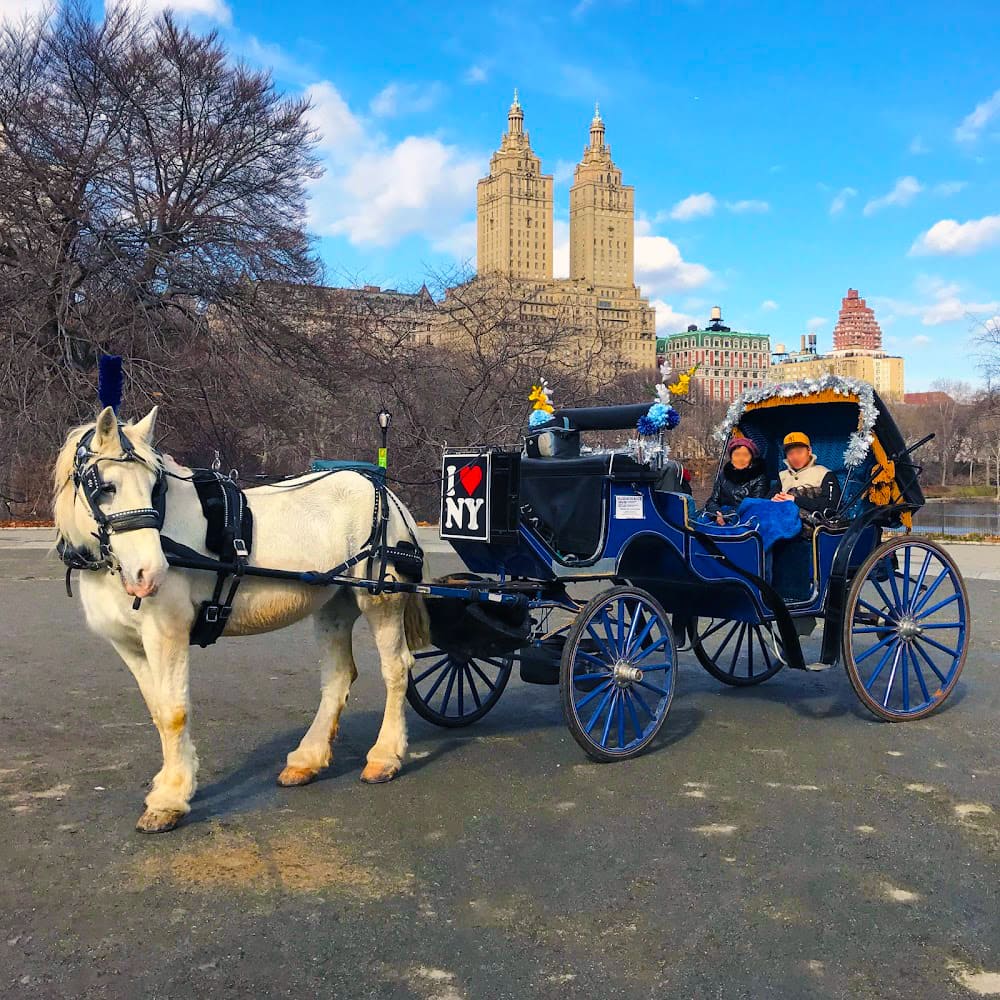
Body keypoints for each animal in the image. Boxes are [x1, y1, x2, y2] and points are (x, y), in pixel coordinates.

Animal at [53, 406, 430, 836]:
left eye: (153, 487)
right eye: (105, 488)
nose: (149, 573)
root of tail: (385, 494)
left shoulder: (167, 634)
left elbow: (174, 711)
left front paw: (170, 800)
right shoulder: (129, 645)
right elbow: (158, 710)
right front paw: (171, 781)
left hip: (380, 599)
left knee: (396, 669)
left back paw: (385, 756)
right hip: (333, 604)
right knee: (337, 677)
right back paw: (307, 759)